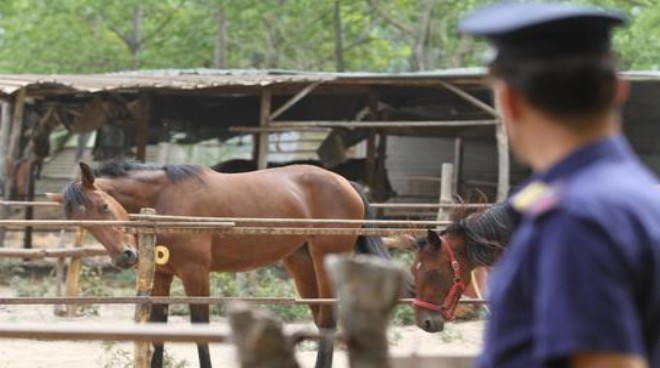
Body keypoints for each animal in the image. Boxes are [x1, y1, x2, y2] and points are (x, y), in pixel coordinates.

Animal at [50, 161, 392, 368]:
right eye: (83, 223)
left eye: (104, 206)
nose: (125, 256)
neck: (164, 200)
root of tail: (345, 182)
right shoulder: (162, 276)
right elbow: (159, 331)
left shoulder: (195, 274)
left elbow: (200, 329)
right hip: (302, 265)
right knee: (322, 322)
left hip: (325, 260)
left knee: (330, 320)